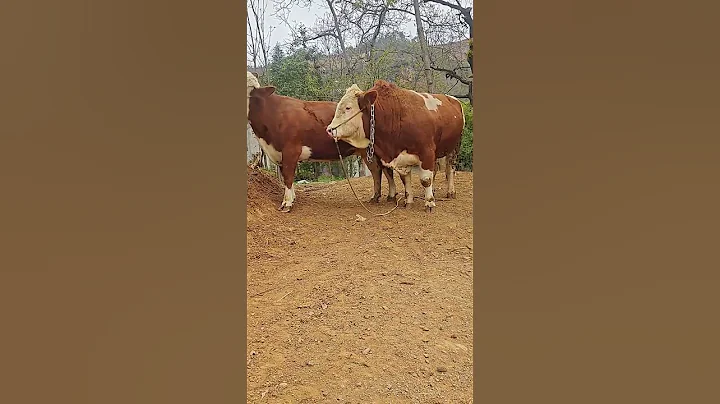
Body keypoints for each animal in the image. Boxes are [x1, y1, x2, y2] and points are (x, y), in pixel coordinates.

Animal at [246, 72, 397, 212]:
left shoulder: (290, 150)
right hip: (366, 151)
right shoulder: (279, 153)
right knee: (376, 170)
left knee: (387, 170)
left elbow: (288, 177)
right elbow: (285, 177)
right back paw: (375, 197)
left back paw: (391, 195)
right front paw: (292, 198)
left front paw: (287, 203)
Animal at [326, 80, 465, 213]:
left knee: (450, 169)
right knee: (436, 170)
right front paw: (409, 201)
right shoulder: (401, 158)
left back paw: (450, 191)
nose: (330, 130)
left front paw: (429, 203)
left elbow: (425, 179)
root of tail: (453, 99)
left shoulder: (427, 152)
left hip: (454, 147)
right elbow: (405, 180)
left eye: (348, 108)